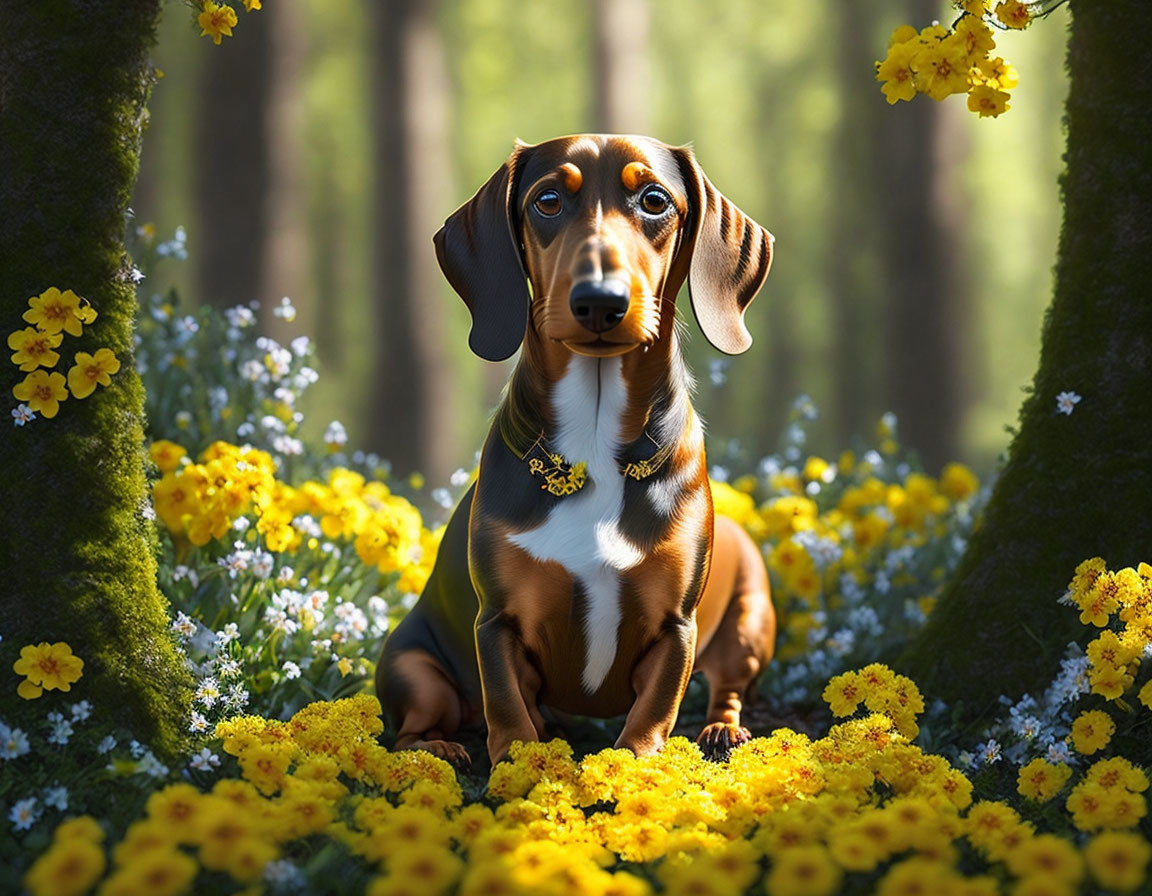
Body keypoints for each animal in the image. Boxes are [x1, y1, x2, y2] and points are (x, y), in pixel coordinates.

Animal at [377, 132, 774, 760]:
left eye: (655, 200)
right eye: (547, 201)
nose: (599, 301)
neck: (595, 437)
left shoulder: (675, 627)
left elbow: (653, 712)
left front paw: (635, 765)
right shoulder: (497, 623)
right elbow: (507, 708)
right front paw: (521, 761)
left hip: (750, 623)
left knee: (728, 686)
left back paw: (722, 728)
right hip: (411, 667)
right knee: (420, 719)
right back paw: (437, 747)